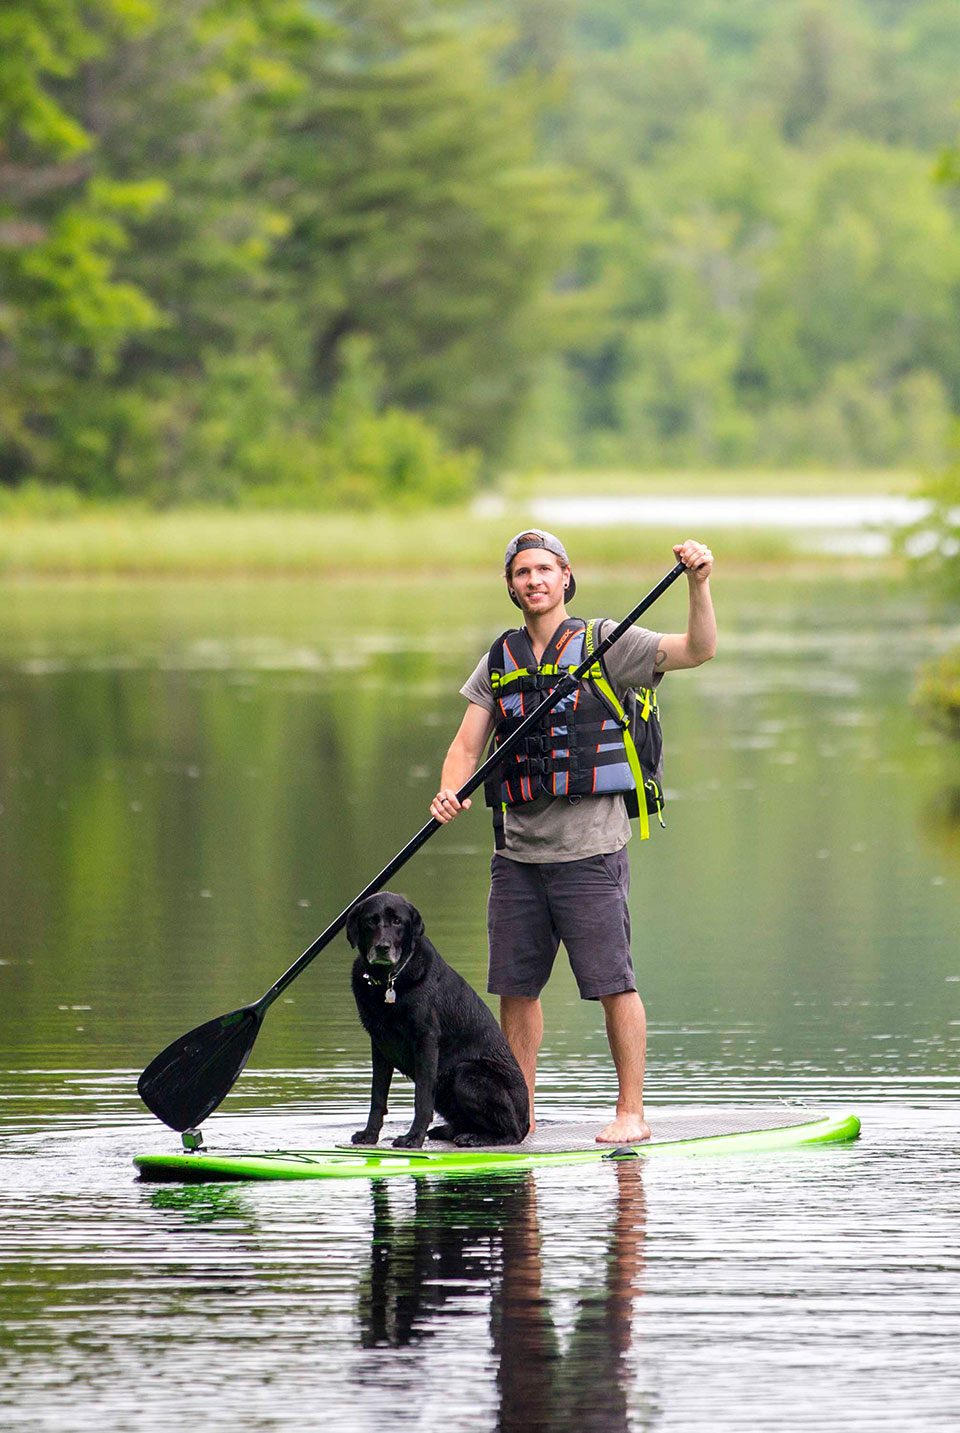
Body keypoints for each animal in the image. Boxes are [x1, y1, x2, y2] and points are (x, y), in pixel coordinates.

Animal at [348, 888, 533, 1146]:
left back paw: (475, 1138)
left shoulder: (425, 1040)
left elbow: (422, 1098)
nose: (383, 947)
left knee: (512, 1133)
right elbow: (377, 1096)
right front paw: (369, 1135)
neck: (389, 981)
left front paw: (413, 1138)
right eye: (370, 921)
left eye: (397, 921)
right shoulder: (380, 1043)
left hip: (466, 1074)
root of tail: (526, 1120)